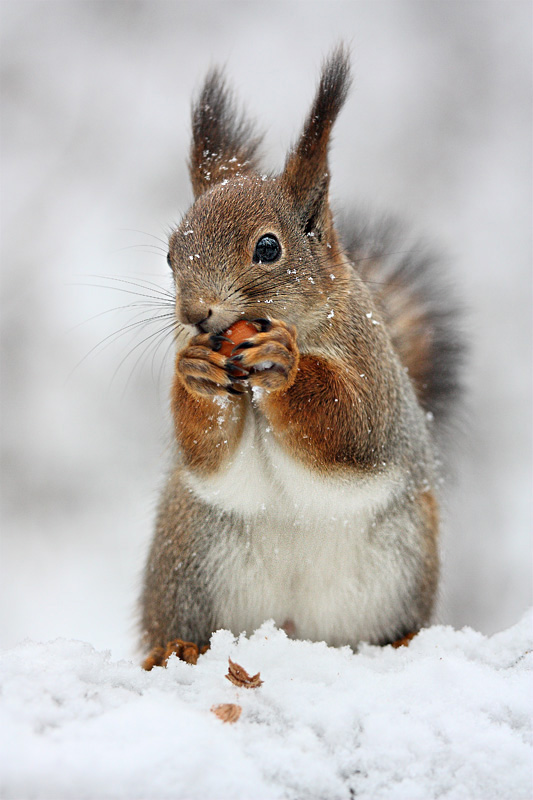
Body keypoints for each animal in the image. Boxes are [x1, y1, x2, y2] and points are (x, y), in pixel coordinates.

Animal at [138, 42, 462, 664]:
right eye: (169, 255)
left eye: (268, 247)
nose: (195, 313)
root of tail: (295, 631)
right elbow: (208, 454)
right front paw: (194, 373)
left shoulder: (372, 367)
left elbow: (352, 427)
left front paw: (285, 367)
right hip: (187, 557)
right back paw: (176, 649)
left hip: (404, 558)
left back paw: (403, 640)